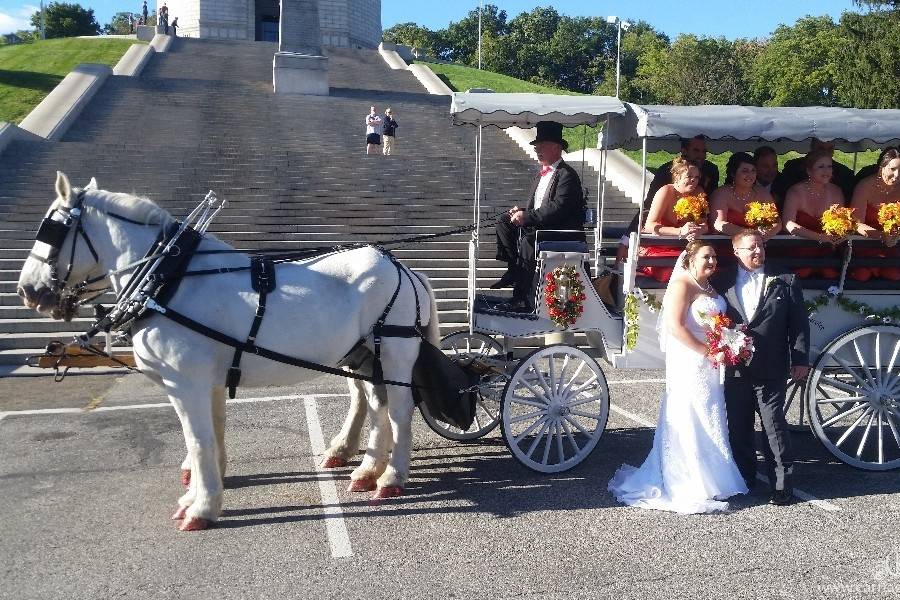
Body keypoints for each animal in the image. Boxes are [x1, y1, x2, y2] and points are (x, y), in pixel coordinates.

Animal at [19, 172, 442, 528]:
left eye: (51, 228)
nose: (27, 291)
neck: (167, 279)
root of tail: (405, 270)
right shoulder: (209, 381)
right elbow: (214, 433)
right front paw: (202, 489)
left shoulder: (185, 383)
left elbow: (198, 440)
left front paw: (201, 508)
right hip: (364, 356)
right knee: (374, 405)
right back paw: (366, 468)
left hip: (394, 353)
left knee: (399, 412)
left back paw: (390, 476)